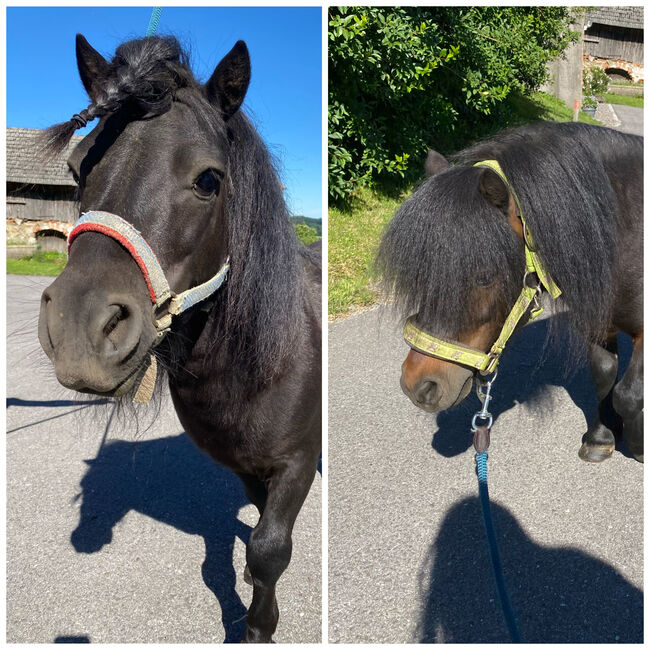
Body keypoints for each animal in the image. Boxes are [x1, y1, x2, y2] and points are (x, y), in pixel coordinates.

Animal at [36, 34, 320, 636]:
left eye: (209, 179)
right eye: (75, 168)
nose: (77, 329)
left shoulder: (297, 464)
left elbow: (269, 549)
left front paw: (259, 624)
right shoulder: (247, 464)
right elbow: (256, 531)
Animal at [378, 121, 640, 464]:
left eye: (484, 277)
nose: (417, 386)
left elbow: (629, 394)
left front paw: (638, 445)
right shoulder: (601, 320)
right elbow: (604, 375)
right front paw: (602, 437)